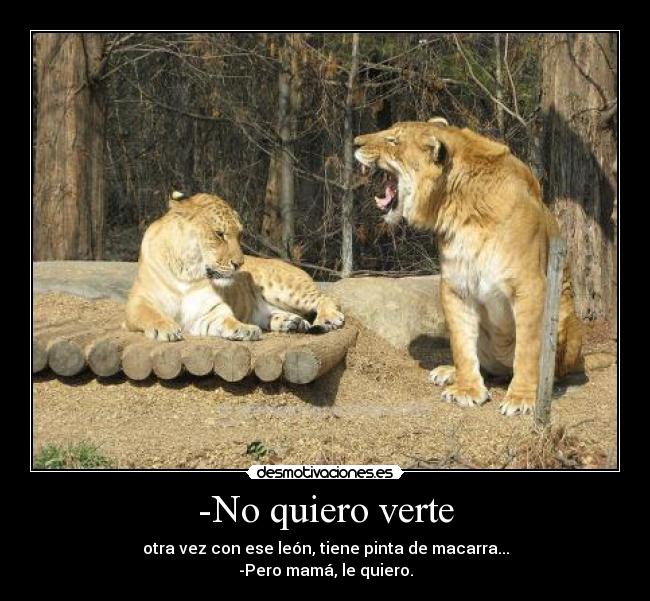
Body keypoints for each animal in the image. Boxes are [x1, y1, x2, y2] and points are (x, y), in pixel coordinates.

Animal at [125, 192, 344, 342]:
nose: (239, 264)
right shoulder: (137, 302)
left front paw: (245, 329)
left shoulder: (209, 311)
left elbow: (226, 319)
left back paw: (328, 318)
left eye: (240, 234)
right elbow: (149, 314)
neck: (187, 272)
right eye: (219, 234)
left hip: (286, 287)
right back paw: (293, 323)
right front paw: (166, 328)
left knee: (325, 298)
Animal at [354, 118, 584, 416]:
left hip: (565, 316)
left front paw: (522, 398)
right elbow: (462, 344)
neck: (459, 206)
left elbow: (528, 348)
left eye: (394, 140)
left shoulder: (529, 286)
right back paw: (448, 372)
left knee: (550, 367)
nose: (355, 142)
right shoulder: (456, 286)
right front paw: (466, 390)